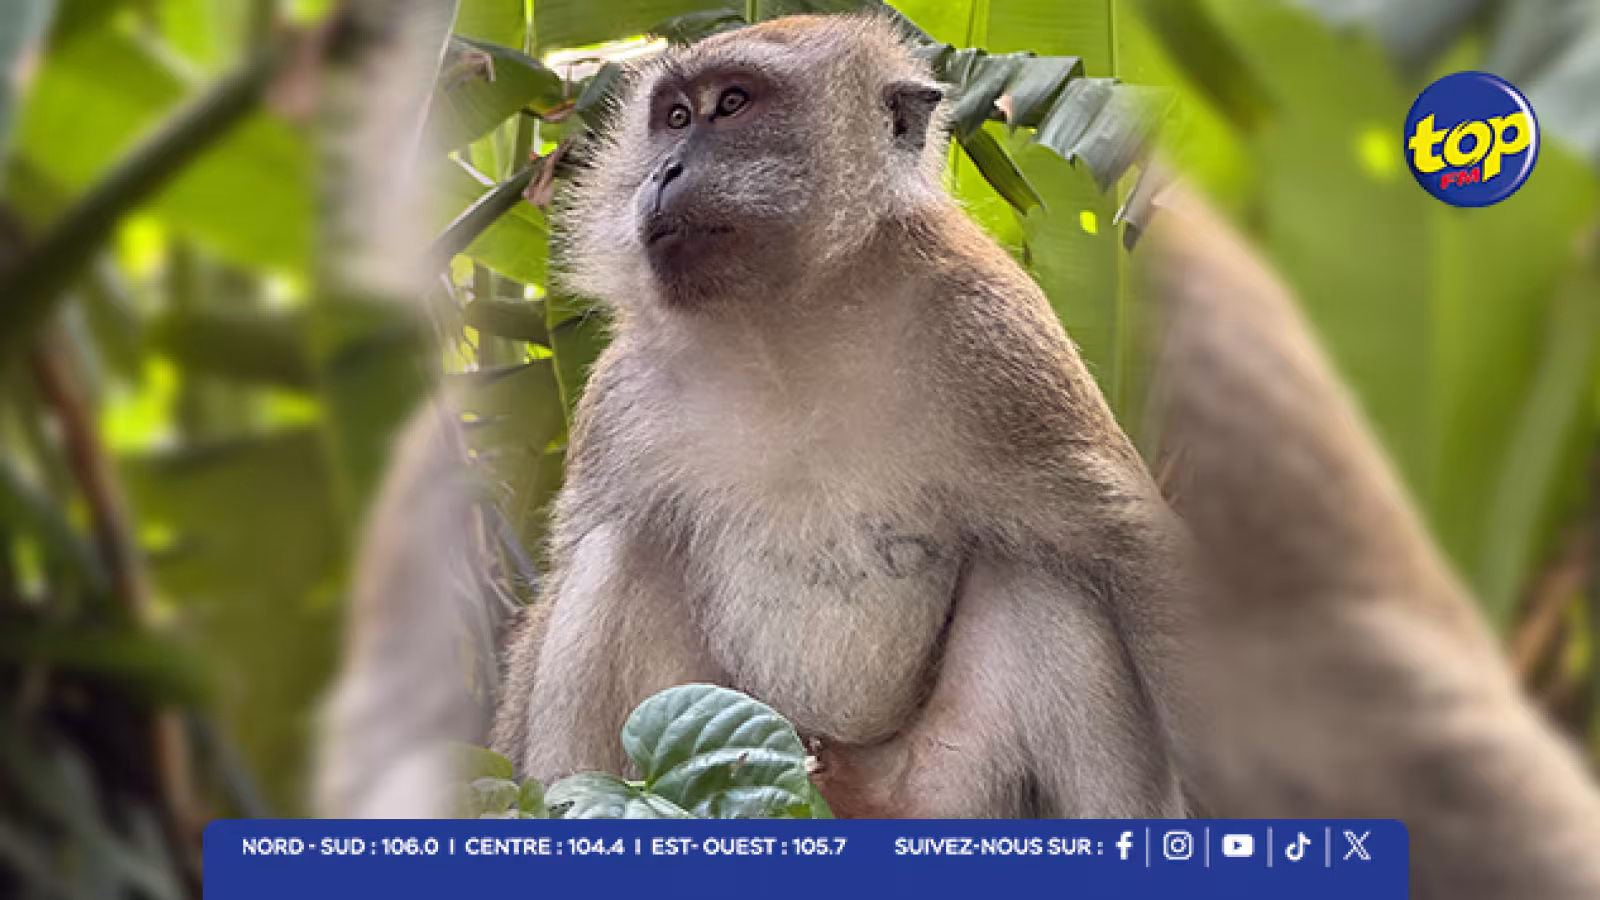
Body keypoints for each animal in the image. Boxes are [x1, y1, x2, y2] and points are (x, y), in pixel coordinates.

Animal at [486, 14, 1195, 818]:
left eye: (733, 104)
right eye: (675, 119)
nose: (661, 172)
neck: (786, 327)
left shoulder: (998, 341)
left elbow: (1134, 554)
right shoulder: (622, 395)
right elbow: (572, 572)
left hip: (941, 791)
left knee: (1048, 577)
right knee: (619, 552)